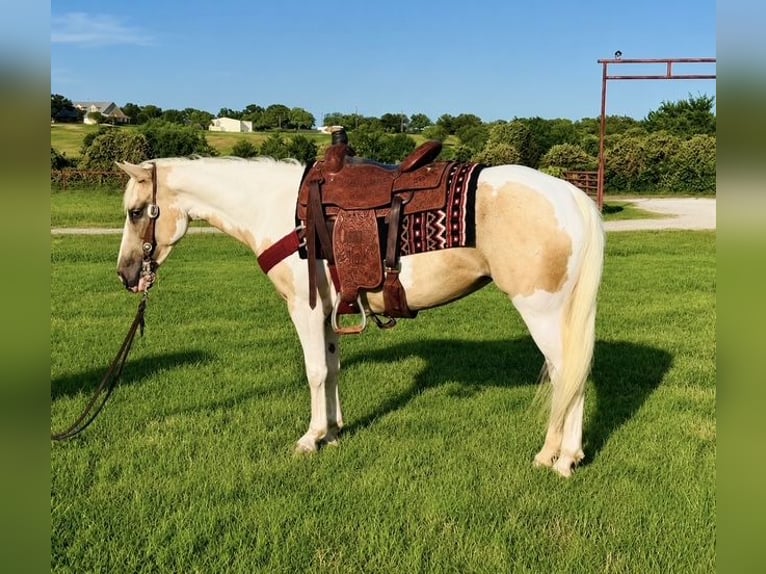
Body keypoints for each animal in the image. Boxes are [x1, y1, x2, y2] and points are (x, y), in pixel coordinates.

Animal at [115, 155, 605, 477]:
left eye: (136, 212)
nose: (125, 274)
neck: (278, 210)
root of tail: (571, 195)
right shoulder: (329, 313)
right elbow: (332, 370)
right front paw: (333, 431)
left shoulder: (305, 309)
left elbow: (314, 372)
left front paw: (310, 438)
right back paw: (563, 454)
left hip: (541, 311)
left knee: (566, 374)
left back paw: (560, 458)